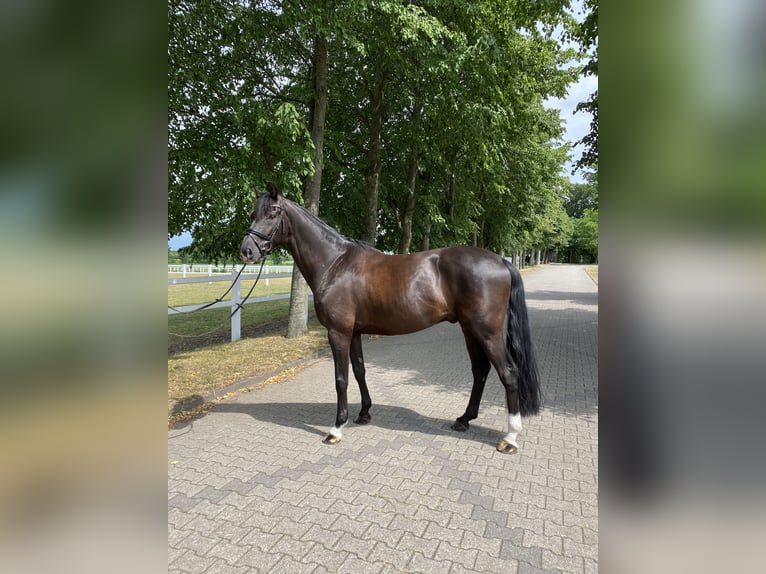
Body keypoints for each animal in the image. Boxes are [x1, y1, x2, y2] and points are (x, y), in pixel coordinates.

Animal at [240, 185, 541, 454]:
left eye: (273, 212)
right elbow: (359, 370)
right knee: (480, 371)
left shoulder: (338, 332)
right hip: (469, 329)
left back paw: (510, 437)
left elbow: (341, 378)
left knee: (508, 374)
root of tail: (501, 260)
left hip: (487, 331)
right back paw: (464, 420)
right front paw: (364, 413)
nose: (247, 251)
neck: (335, 263)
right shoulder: (355, 332)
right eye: (253, 213)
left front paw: (336, 429)